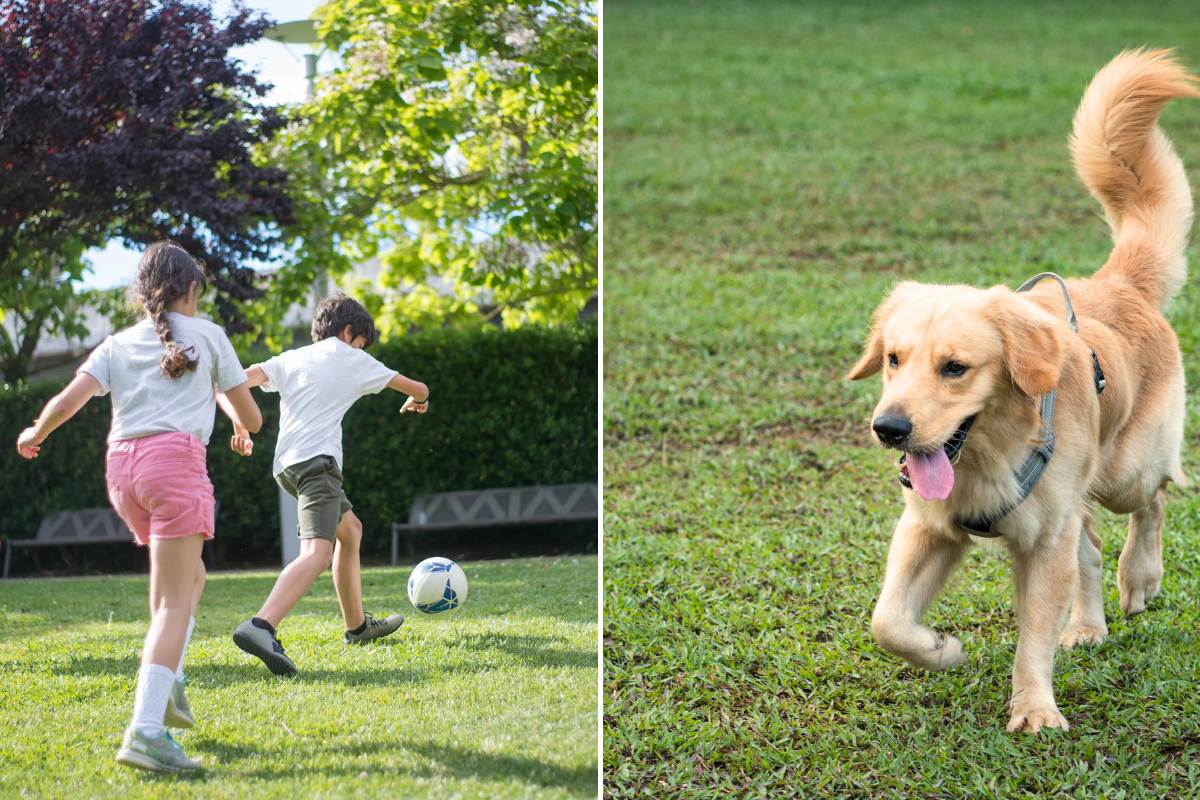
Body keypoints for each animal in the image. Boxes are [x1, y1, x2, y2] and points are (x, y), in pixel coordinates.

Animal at [849, 50, 1195, 734]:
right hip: (1078, 503)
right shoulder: (929, 527)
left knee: (1155, 499)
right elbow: (888, 622)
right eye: (894, 359)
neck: (988, 452)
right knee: (1091, 548)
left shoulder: (1042, 543)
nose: (889, 429)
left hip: (1124, 471)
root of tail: (1119, 283)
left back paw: (1140, 576)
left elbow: (1033, 634)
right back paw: (1089, 624)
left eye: (955, 368)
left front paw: (1034, 708)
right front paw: (939, 648)